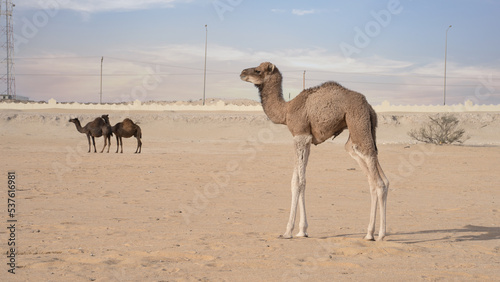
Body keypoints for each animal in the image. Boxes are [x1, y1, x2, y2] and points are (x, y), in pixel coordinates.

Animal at [240, 62, 388, 241]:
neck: (286, 110)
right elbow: (296, 181)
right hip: (361, 133)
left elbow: (299, 182)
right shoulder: (307, 139)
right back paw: (369, 233)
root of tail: (370, 108)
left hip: (358, 123)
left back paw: (380, 234)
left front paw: (288, 231)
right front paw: (302, 231)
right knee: (376, 176)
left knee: (378, 181)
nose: (242, 73)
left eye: (258, 70)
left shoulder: (300, 135)